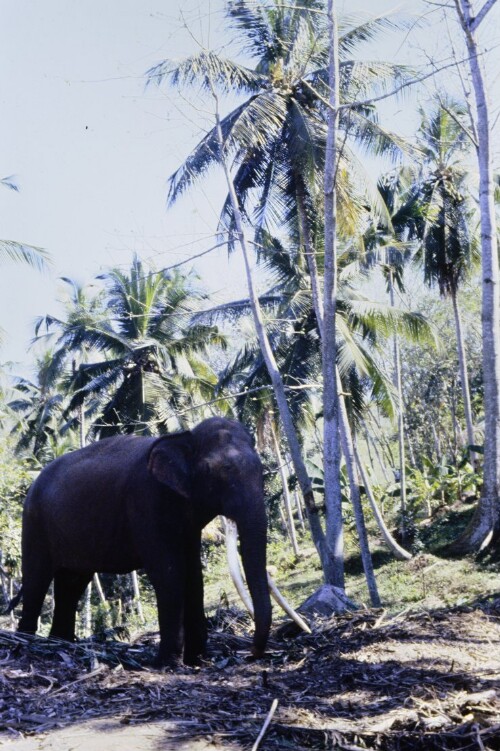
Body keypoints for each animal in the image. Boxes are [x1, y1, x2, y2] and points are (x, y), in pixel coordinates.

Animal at [17, 416, 272, 666]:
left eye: (260, 469)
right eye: (215, 471)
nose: (251, 653)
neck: (184, 436)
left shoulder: (188, 524)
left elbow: (193, 574)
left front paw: (197, 660)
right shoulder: (145, 501)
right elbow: (168, 571)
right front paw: (168, 663)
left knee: (72, 582)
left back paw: (61, 642)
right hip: (34, 522)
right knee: (36, 579)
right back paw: (28, 640)